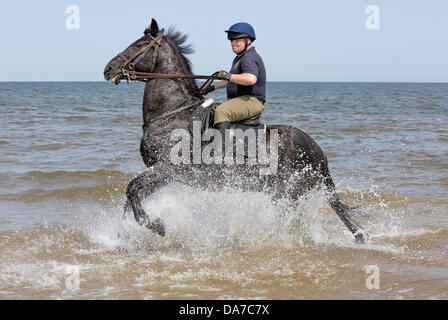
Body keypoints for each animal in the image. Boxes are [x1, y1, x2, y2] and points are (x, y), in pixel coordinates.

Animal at [104, 18, 368, 244]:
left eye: (139, 45)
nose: (108, 69)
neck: (172, 113)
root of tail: (318, 153)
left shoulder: (168, 169)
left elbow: (132, 189)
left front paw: (155, 226)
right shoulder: (162, 173)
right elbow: (131, 196)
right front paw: (122, 236)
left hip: (288, 192)